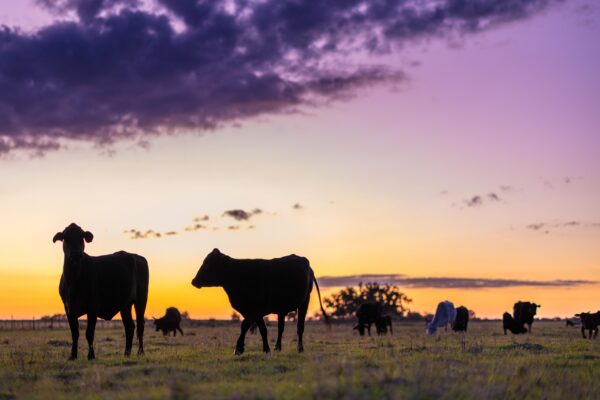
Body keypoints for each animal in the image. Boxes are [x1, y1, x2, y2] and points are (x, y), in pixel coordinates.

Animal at [52, 223, 149, 360]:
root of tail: (137, 257)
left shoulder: (92, 307)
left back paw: (140, 352)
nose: (76, 254)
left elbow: (89, 333)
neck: (74, 280)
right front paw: (73, 355)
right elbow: (75, 333)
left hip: (141, 299)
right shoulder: (68, 308)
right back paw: (126, 353)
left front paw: (91, 355)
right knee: (129, 327)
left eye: (81, 237)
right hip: (125, 305)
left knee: (140, 326)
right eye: (66, 237)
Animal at [191, 248, 328, 354]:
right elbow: (261, 329)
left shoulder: (255, 310)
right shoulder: (252, 312)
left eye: (208, 264)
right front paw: (264, 349)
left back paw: (300, 348)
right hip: (282, 308)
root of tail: (304, 261)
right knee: (281, 327)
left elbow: (246, 326)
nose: (194, 281)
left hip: (304, 302)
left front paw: (240, 349)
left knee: (300, 326)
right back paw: (277, 347)